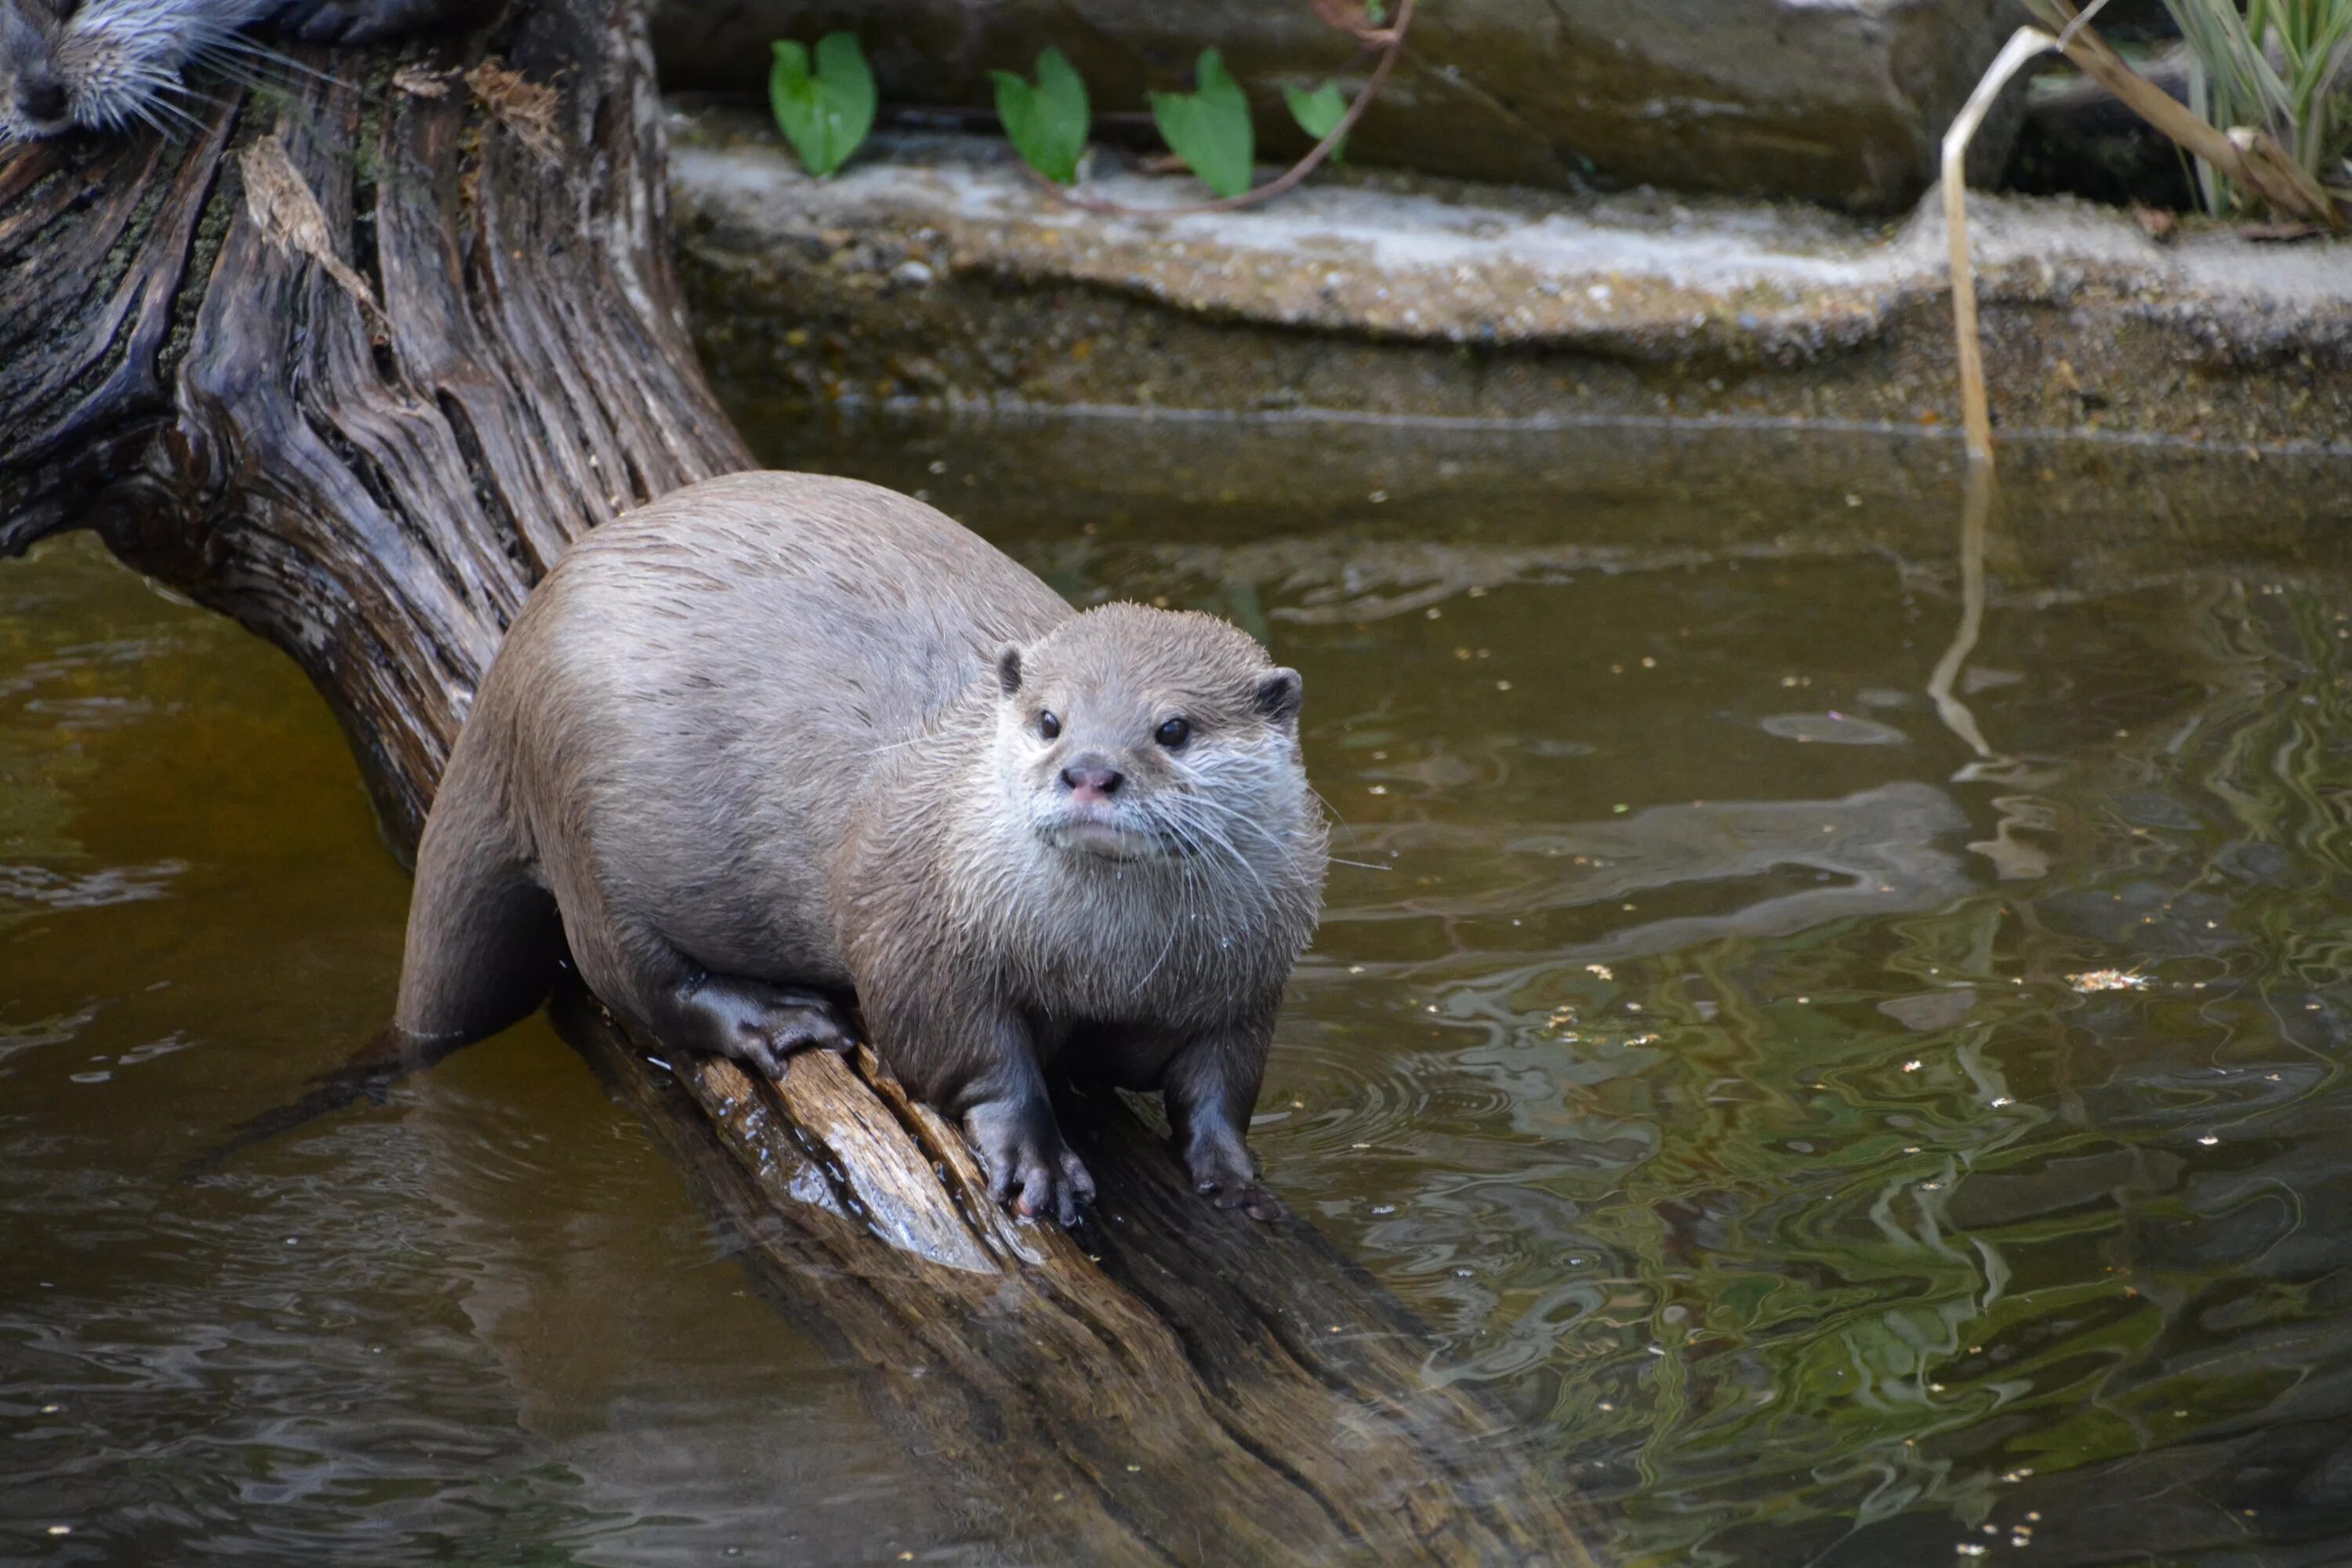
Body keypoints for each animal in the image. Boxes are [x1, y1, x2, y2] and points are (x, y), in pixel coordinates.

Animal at [397, 472, 1336, 1222]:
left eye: (1172, 728)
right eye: (1050, 719)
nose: (1090, 770)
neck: (1110, 968)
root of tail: (510, 663)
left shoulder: (1250, 980)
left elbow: (1220, 1085)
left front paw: (1236, 1174)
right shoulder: (918, 933)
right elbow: (965, 1052)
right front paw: (1036, 1157)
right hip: (581, 815)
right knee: (635, 982)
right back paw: (773, 1016)